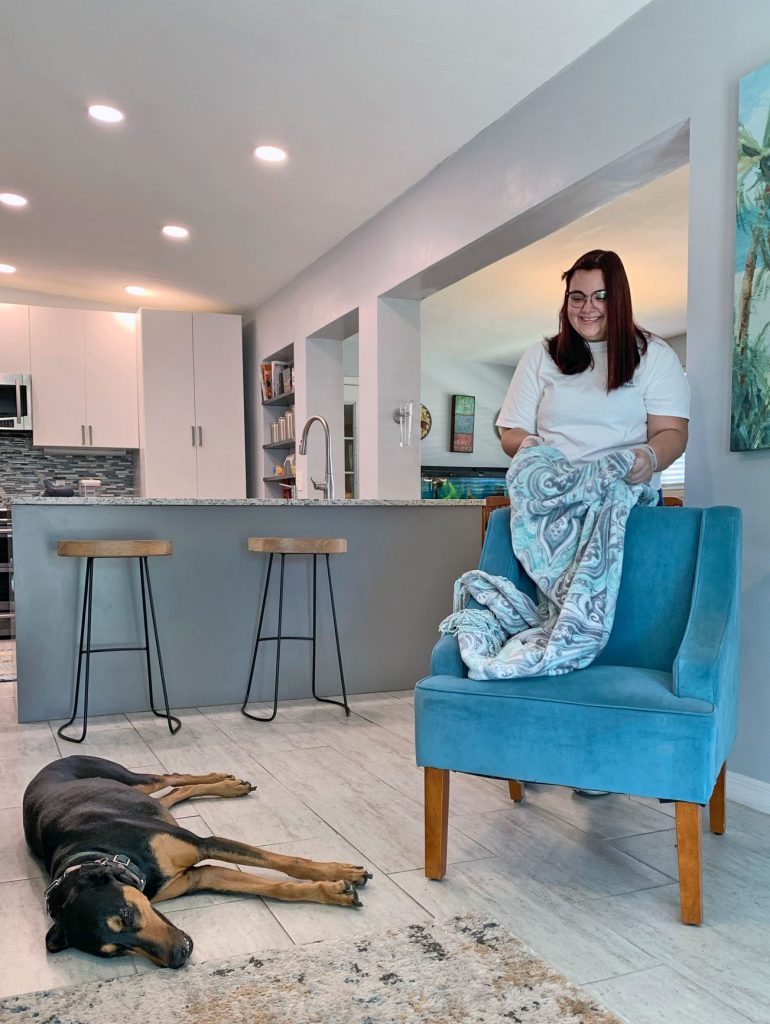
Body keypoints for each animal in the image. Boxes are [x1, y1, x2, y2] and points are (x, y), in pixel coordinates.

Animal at [24, 753, 372, 966]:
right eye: (116, 951)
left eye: (125, 914)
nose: (178, 957)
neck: (110, 854)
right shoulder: (201, 876)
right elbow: (275, 888)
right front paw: (333, 890)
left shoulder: (204, 844)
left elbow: (283, 861)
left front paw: (339, 871)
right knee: (171, 793)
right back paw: (227, 785)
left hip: (128, 777)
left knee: (170, 777)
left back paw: (225, 781)